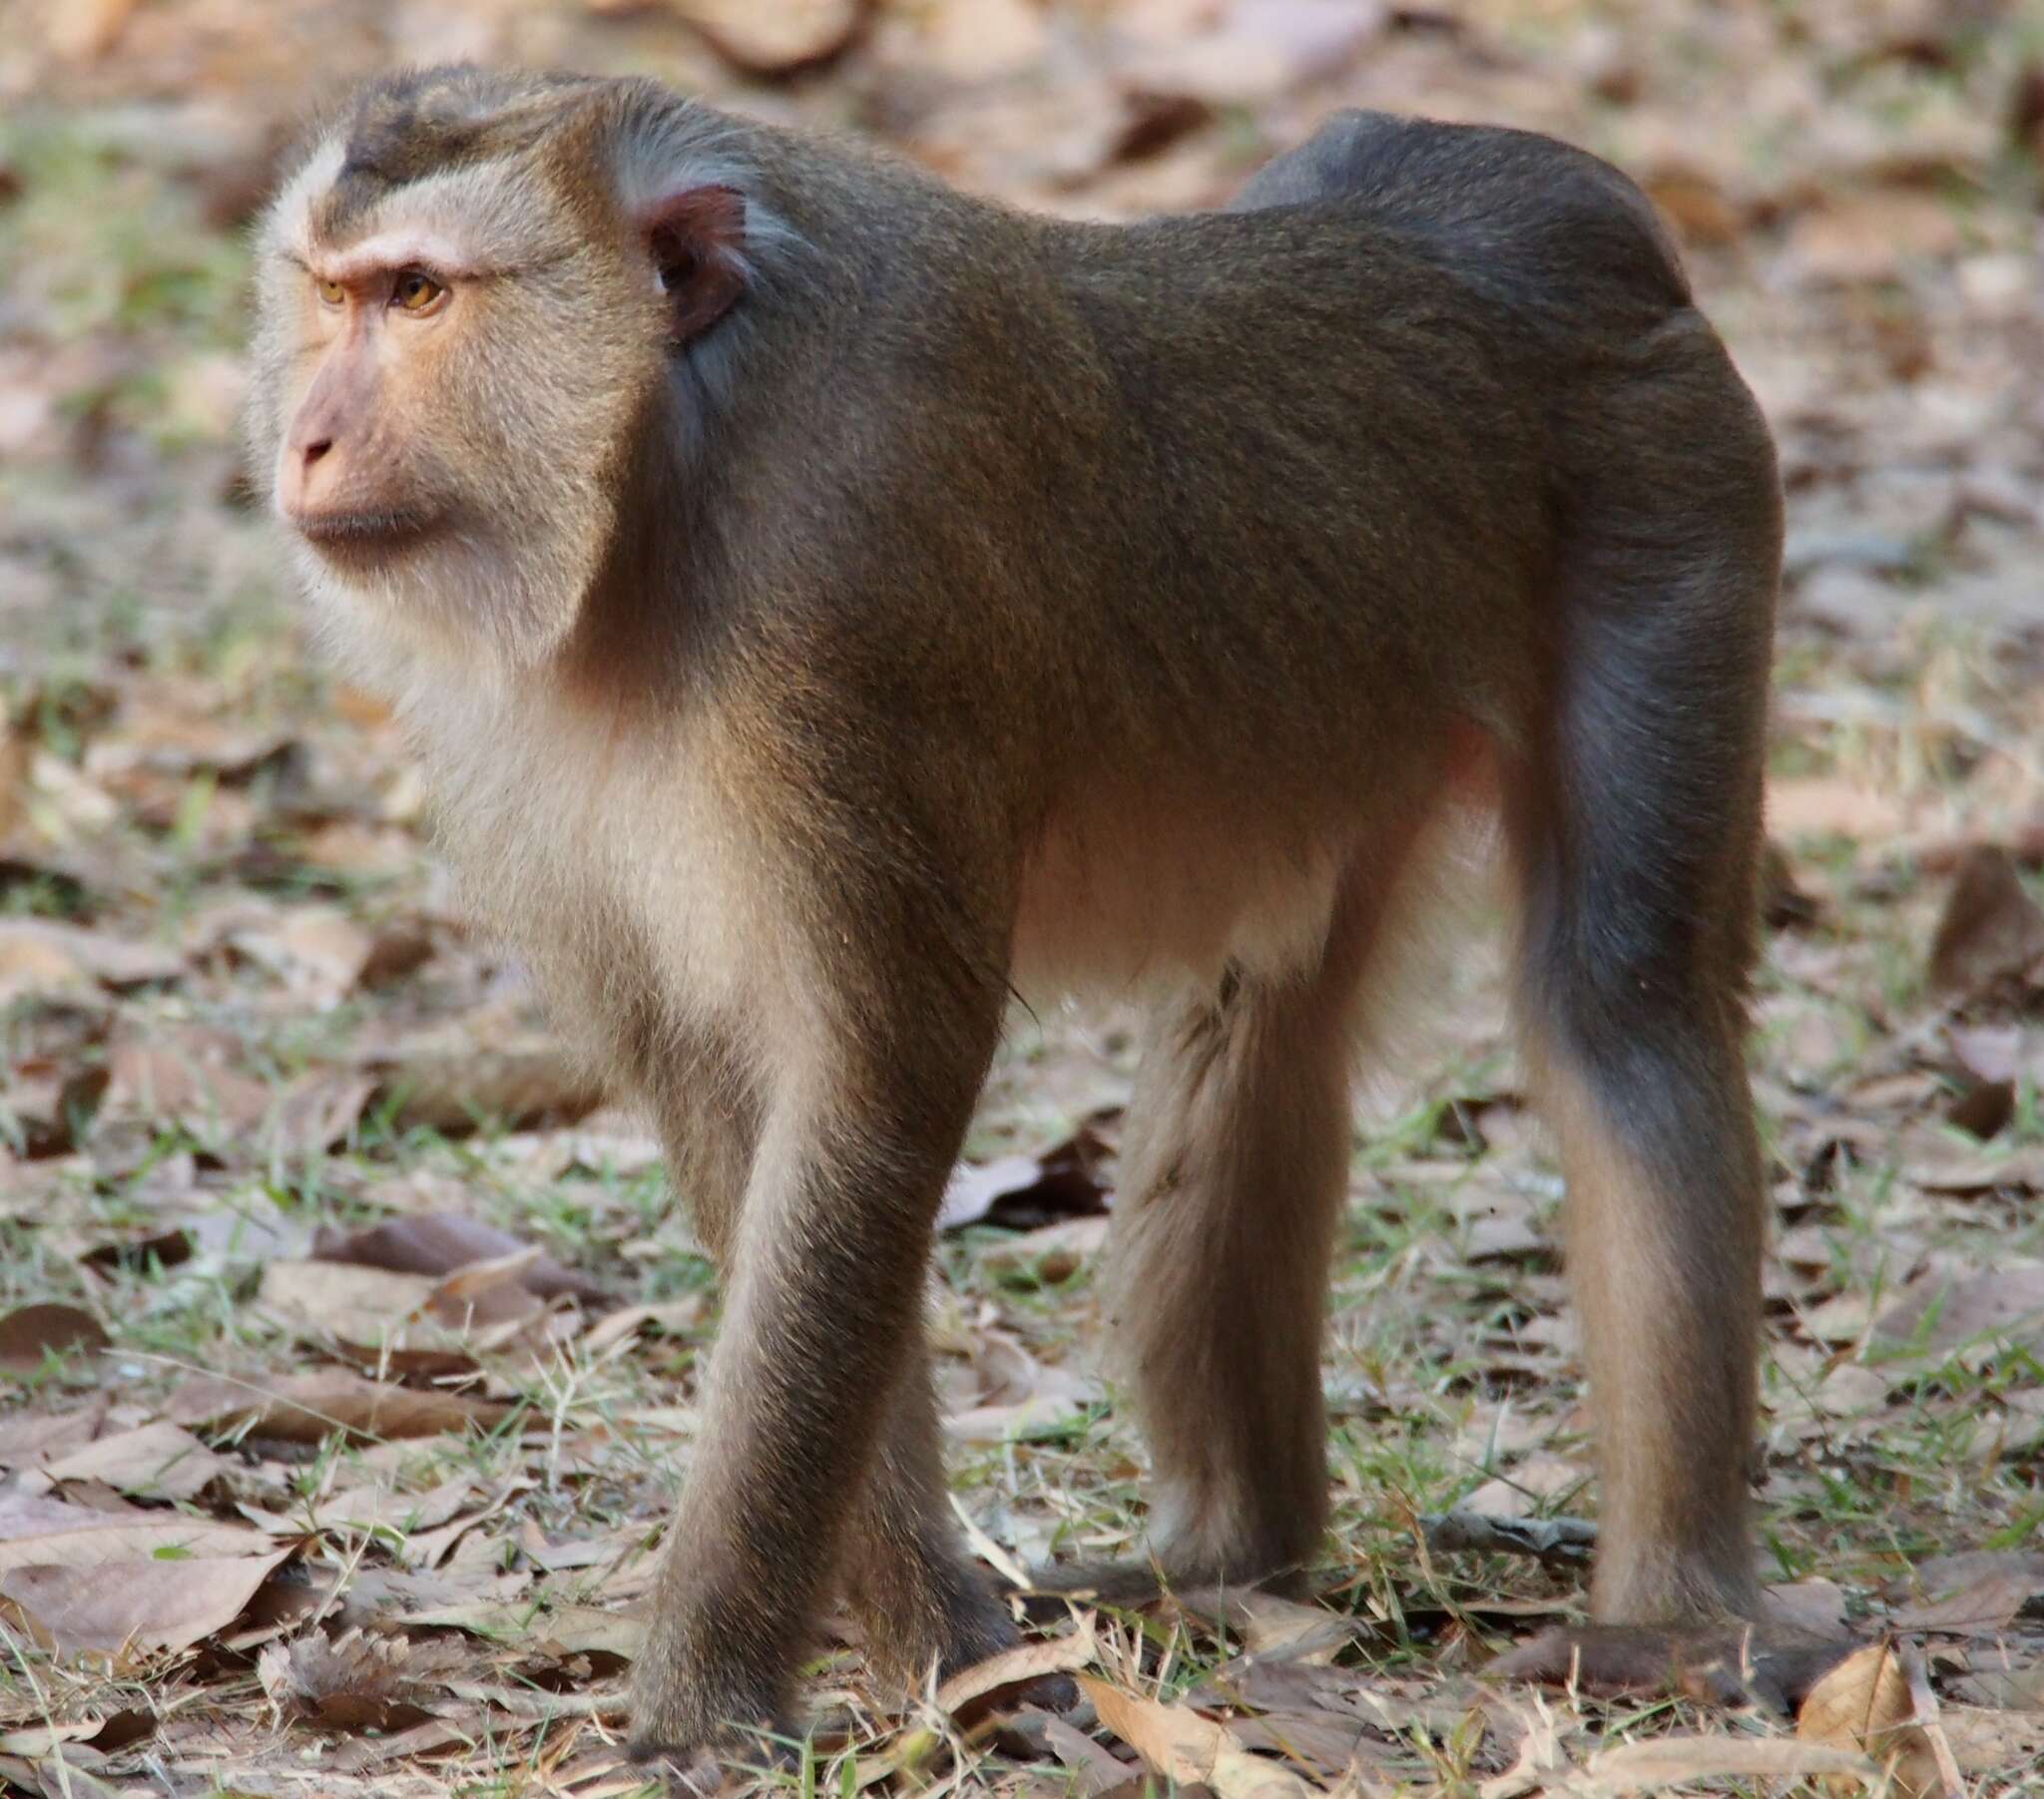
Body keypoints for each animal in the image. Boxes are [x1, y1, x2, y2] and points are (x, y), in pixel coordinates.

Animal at [251, 70, 1790, 1774]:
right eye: (331, 294)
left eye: (421, 295)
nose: (306, 436)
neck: (668, 465)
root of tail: (1569, 208)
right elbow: (741, 1116)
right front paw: (946, 1642)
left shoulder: (846, 601)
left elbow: (875, 1094)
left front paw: (710, 1697)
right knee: (1259, 1021)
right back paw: (1235, 1549)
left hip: (1672, 500)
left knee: (1623, 1003)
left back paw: (1670, 1618)